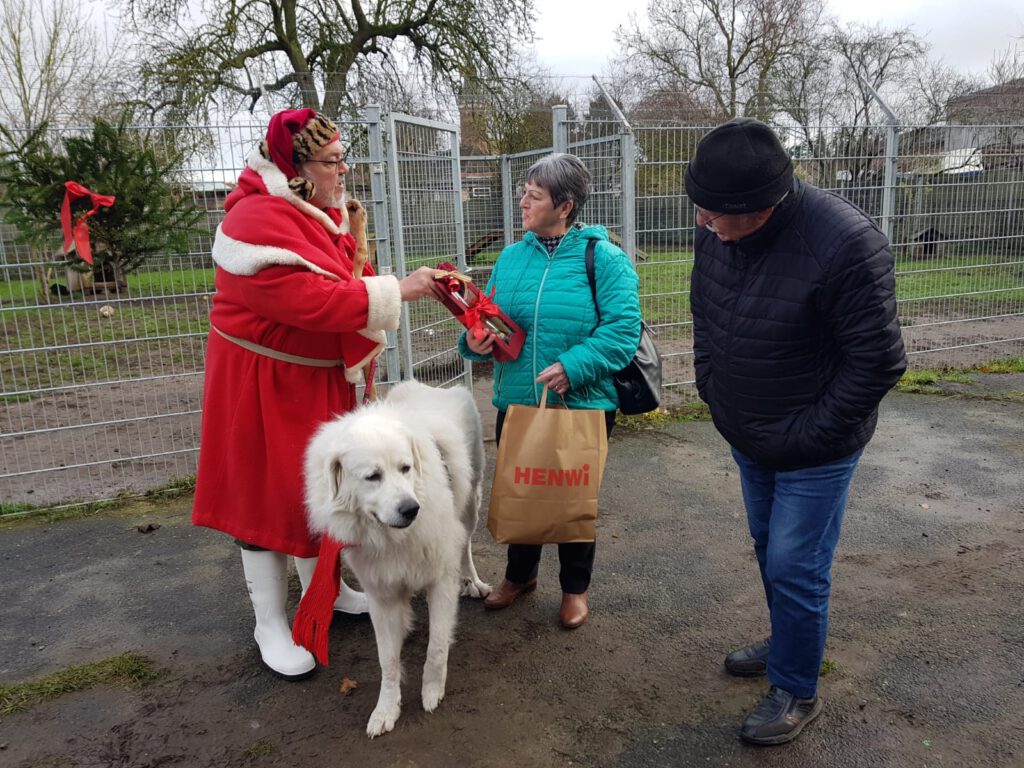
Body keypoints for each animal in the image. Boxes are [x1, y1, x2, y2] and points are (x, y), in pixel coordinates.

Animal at [303, 382, 491, 737]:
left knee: (466, 545)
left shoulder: (440, 582)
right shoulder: (382, 596)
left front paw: (431, 692)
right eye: (372, 476)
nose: (411, 509)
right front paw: (386, 710)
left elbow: (437, 647)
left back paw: (473, 582)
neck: (393, 538)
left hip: (471, 505)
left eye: (406, 468)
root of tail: (433, 386)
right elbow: (387, 661)